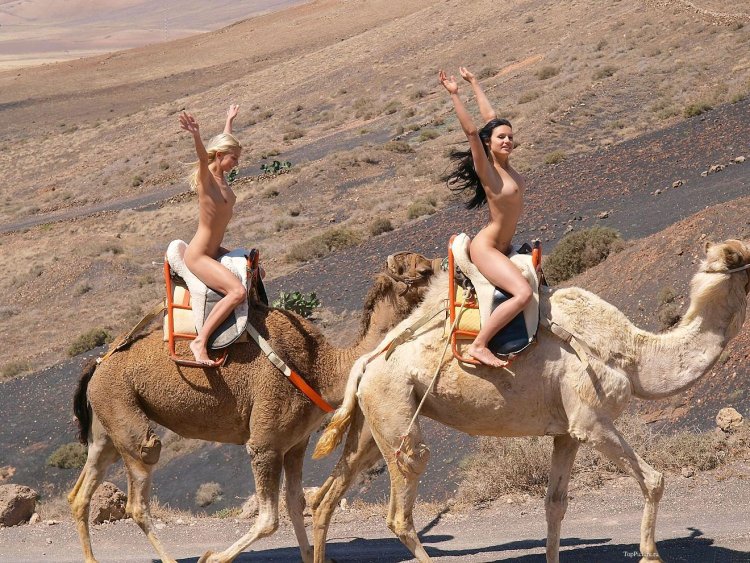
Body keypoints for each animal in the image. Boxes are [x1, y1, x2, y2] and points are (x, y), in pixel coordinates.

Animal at [68, 250, 438, 563]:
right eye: (423, 270)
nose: (449, 278)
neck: (321, 368)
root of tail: (97, 364)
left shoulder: (295, 443)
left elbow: (295, 504)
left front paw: (311, 555)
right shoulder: (265, 441)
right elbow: (268, 520)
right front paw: (212, 557)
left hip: (107, 423)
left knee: (82, 492)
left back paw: (91, 558)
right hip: (123, 410)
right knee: (139, 491)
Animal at [312, 239, 750, 563]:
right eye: (746, 265)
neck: (634, 355)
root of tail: (367, 359)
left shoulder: (567, 432)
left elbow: (555, 504)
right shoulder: (592, 421)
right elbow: (654, 480)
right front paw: (649, 553)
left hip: (373, 417)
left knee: (326, 496)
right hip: (393, 404)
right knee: (402, 507)